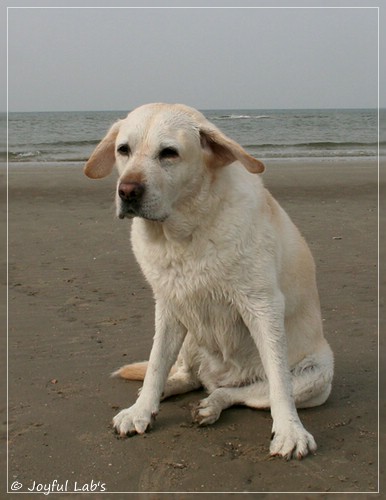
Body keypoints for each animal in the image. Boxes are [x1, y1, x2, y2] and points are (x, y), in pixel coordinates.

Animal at [86, 103, 334, 458]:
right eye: (123, 150)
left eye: (169, 153)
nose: (127, 191)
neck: (184, 233)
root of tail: (220, 378)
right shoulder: (169, 307)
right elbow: (157, 363)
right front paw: (141, 410)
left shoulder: (263, 305)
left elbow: (279, 384)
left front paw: (291, 431)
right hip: (192, 337)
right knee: (186, 376)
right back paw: (166, 392)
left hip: (317, 377)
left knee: (243, 393)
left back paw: (211, 405)